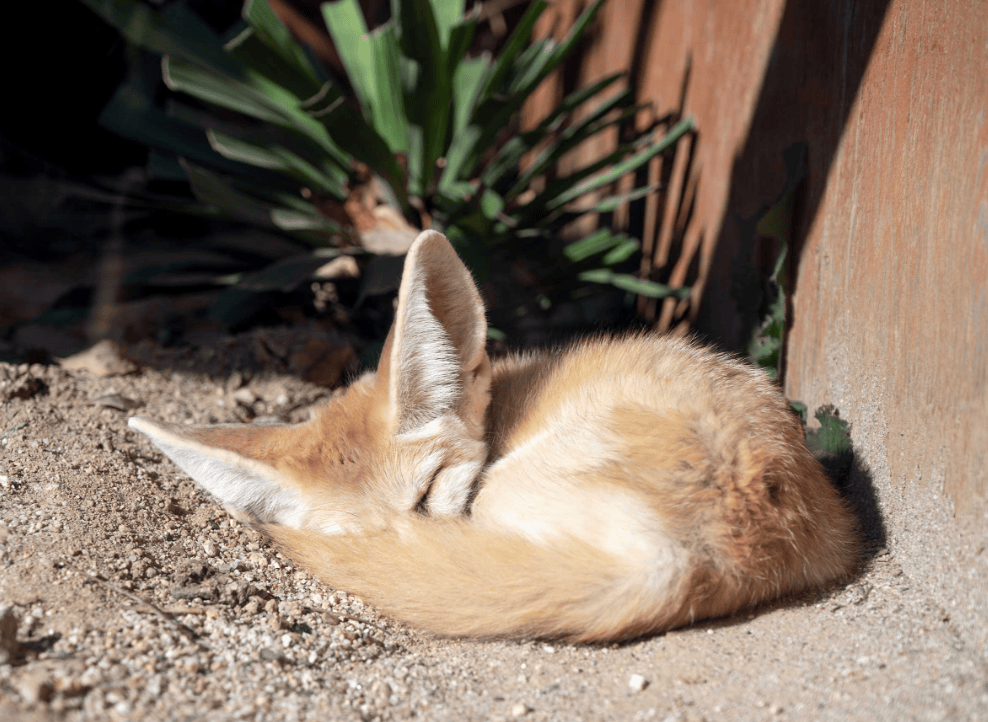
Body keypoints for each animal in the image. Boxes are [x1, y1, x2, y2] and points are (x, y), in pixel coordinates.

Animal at [129, 228, 856, 640]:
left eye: (424, 498)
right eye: (360, 533)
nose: (403, 548)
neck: (501, 399)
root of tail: (708, 554)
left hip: (508, 492)